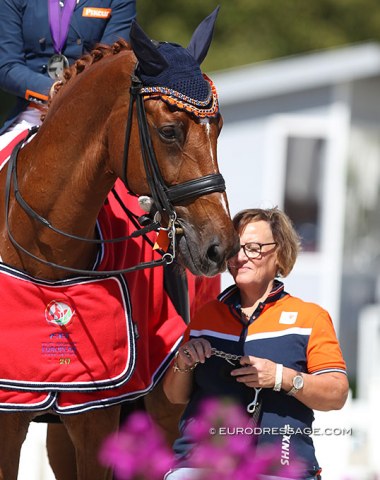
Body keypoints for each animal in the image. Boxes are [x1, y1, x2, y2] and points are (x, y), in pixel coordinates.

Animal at [0, 8, 238, 480]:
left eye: (218, 128)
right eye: (169, 131)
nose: (219, 247)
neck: (43, 251)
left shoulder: (97, 416)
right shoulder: (11, 418)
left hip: (162, 407)